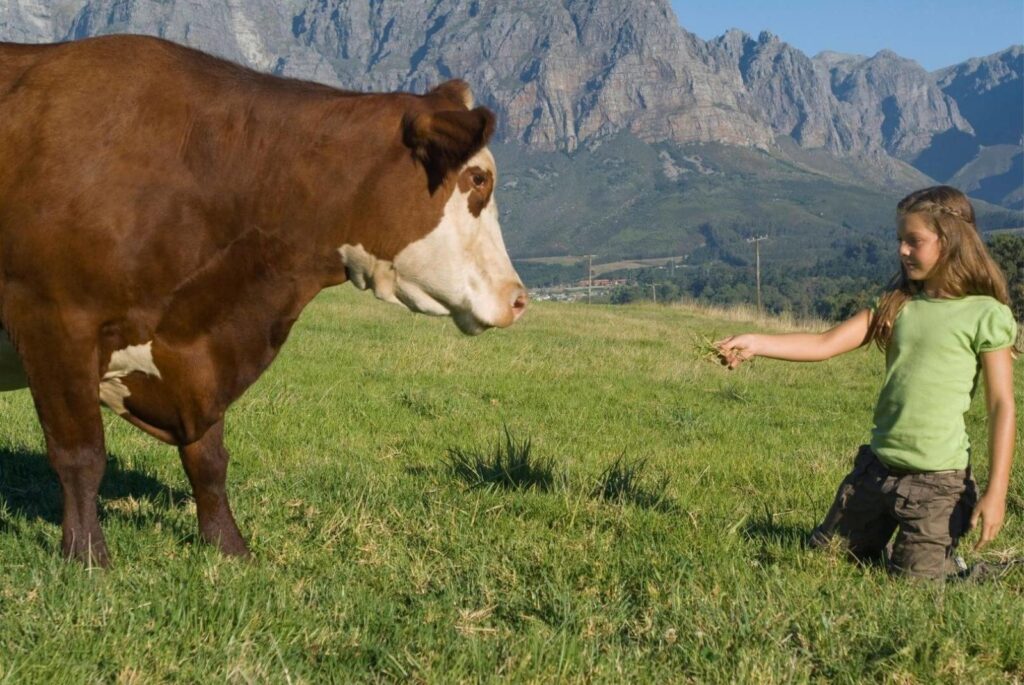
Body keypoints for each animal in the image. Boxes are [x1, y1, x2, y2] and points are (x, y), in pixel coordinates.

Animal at [0, 34, 527, 566]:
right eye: (479, 180)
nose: (519, 298)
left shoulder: (199, 351)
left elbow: (209, 460)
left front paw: (229, 547)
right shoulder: (55, 321)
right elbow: (81, 456)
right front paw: (88, 557)